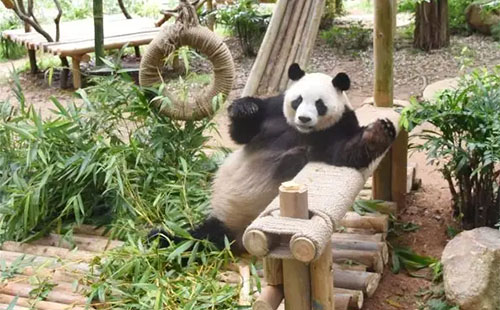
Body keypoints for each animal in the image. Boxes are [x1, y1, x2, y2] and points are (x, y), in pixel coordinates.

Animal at [150, 62, 396, 252]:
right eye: (298, 100)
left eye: (320, 104)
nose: (304, 118)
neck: (300, 131)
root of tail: (236, 235)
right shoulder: (274, 111)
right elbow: (241, 134)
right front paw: (244, 108)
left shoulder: (339, 127)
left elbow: (346, 153)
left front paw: (379, 132)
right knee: (196, 236)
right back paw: (160, 238)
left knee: (200, 240)